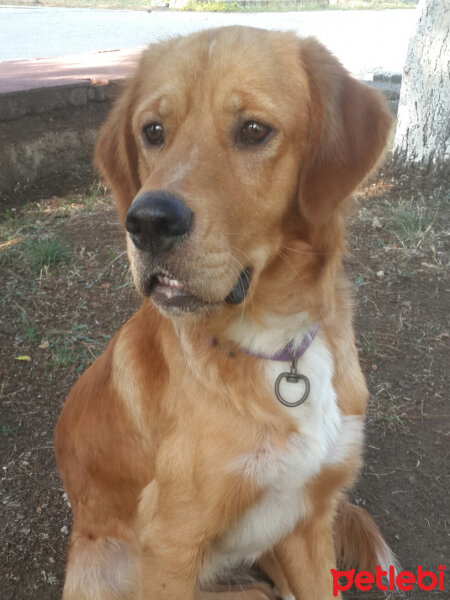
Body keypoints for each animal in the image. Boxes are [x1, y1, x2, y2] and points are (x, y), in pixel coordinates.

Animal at [54, 27, 396, 600]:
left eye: (254, 130)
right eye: (153, 131)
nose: (147, 222)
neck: (275, 345)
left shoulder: (309, 522)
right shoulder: (169, 544)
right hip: (103, 568)